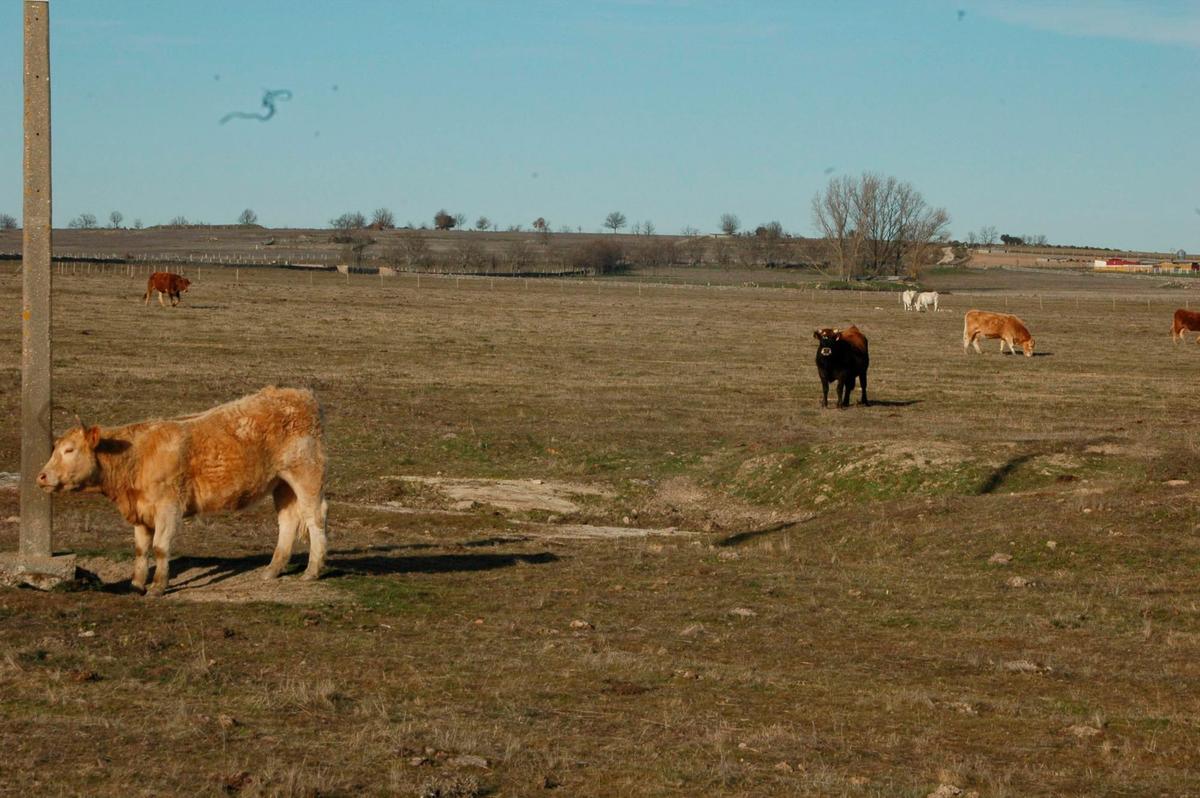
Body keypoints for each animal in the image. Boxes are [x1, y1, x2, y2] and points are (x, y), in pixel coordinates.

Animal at [38, 386, 328, 597]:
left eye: (69, 450)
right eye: (56, 449)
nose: (41, 476)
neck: (137, 456)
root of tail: (300, 394)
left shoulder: (168, 508)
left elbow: (160, 547)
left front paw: (158, 586)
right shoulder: (141, 513)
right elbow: (141, 550)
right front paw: (136, 585)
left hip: (306, 476)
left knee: (314, 517)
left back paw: (313, 570)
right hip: (282, 485)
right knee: (288, 521)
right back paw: (272, 569)